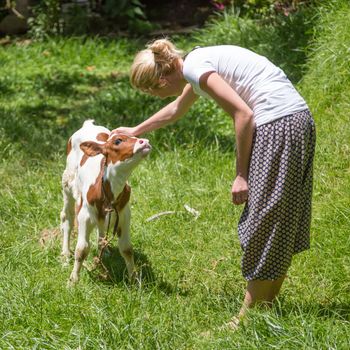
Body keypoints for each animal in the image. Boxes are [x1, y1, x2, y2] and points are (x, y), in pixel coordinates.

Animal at [60, 120, 150, 284]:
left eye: (135, 136)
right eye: (118, 141)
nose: (144, 141)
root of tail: (88, 124)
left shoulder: (124, 214)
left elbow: (127, 249)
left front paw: (133, 279)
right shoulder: (84, 215)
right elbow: (82, 249)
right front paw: (73, 280)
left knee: (101, 228)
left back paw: (104, 249)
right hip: (67, 183)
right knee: (67, 217)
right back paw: (65, 254)